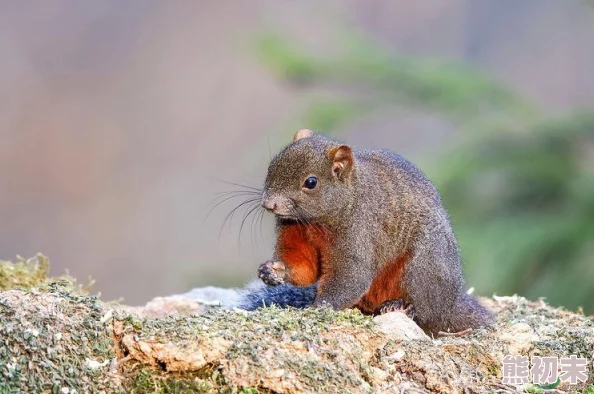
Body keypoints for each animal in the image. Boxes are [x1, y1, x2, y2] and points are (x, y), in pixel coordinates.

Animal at [238, 131, 492, 334]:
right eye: (272, 166)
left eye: (311, 182)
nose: (269, 204)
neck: (313, 222)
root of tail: (451, 302)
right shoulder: (294, 232)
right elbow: (303, 268)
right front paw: (272, 270)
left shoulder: (358, 232)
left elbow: (352, 277)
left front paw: (316, 309)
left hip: (425, 266)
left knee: (427, 312)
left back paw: (401, 306)